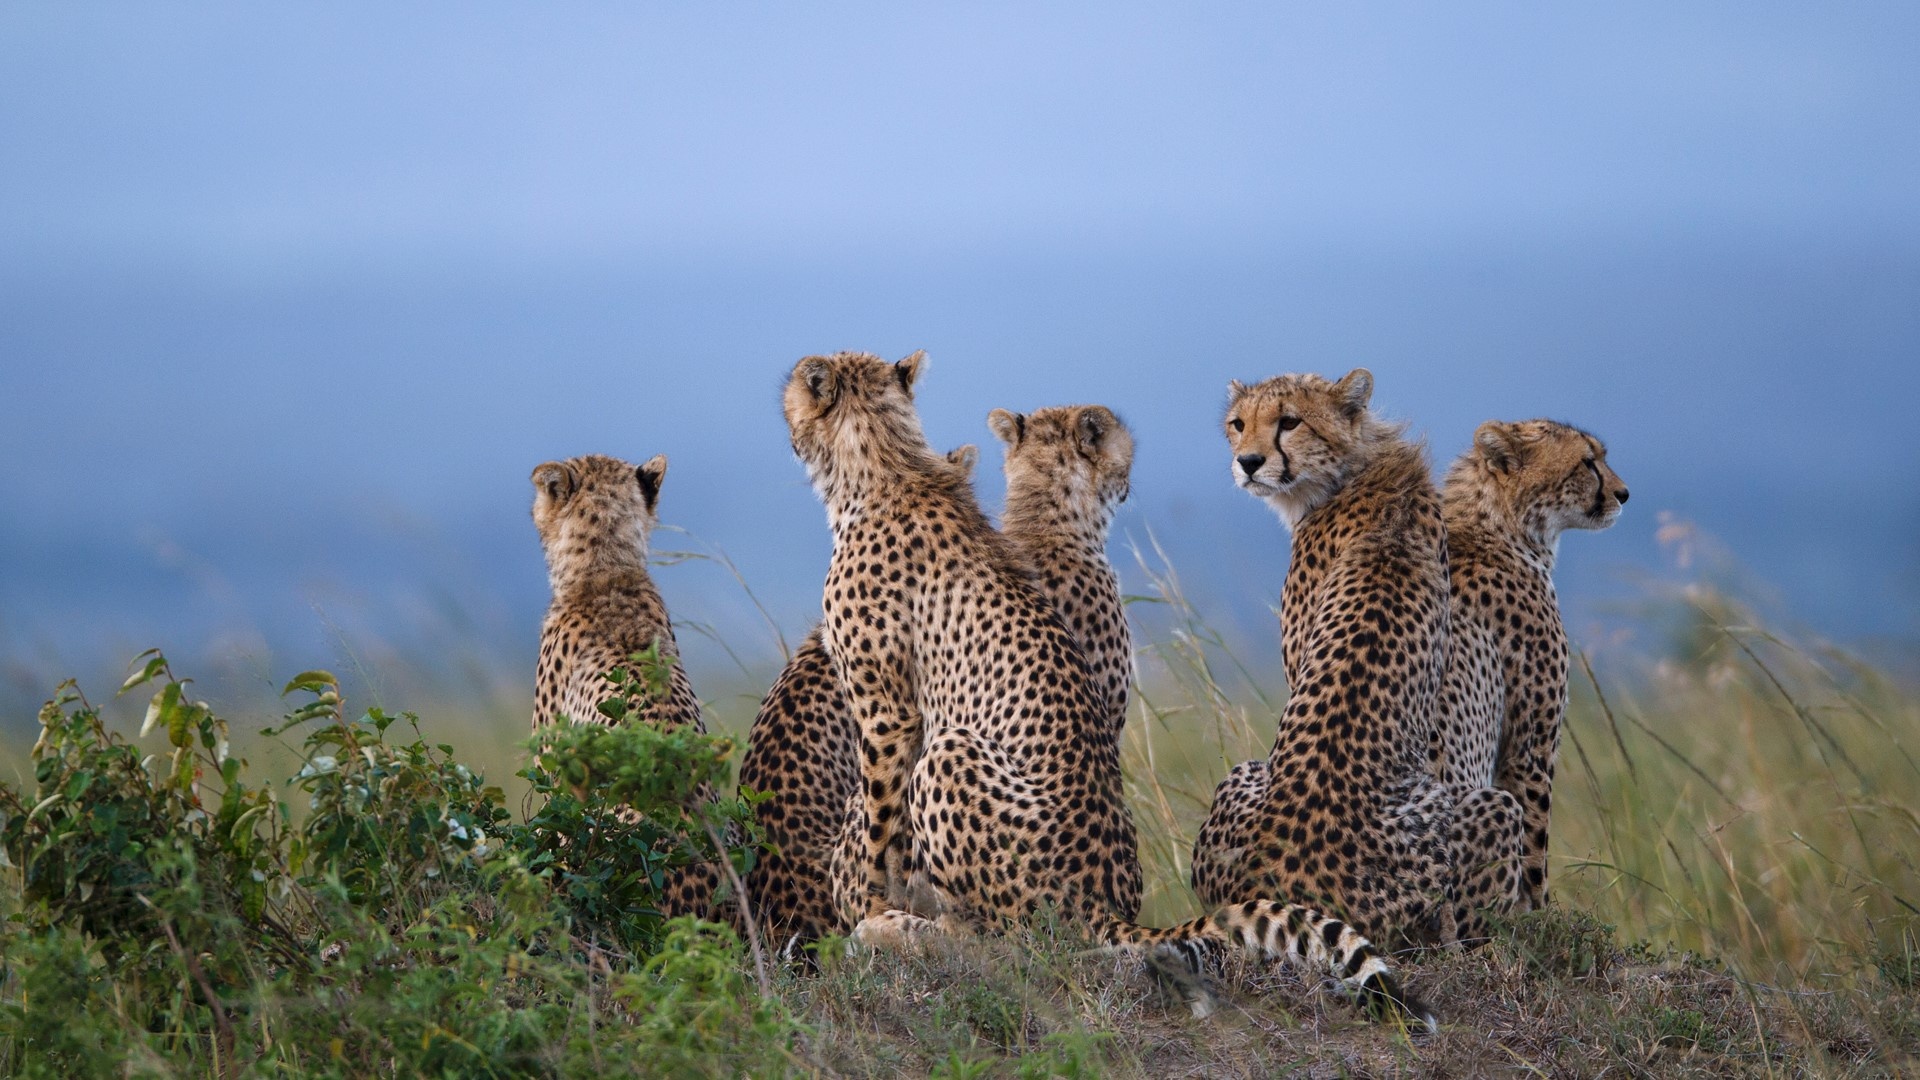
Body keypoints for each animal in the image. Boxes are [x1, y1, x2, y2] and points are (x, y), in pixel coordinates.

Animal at [787, 351, 1436, 1022]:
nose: (1128, 481)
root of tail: (1099, 904)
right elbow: (876, 830)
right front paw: (868, 907)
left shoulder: (888, 713)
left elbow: (878, 827)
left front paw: (870, 910)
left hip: (951, 756)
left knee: (998, 942)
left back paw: (895, 931)